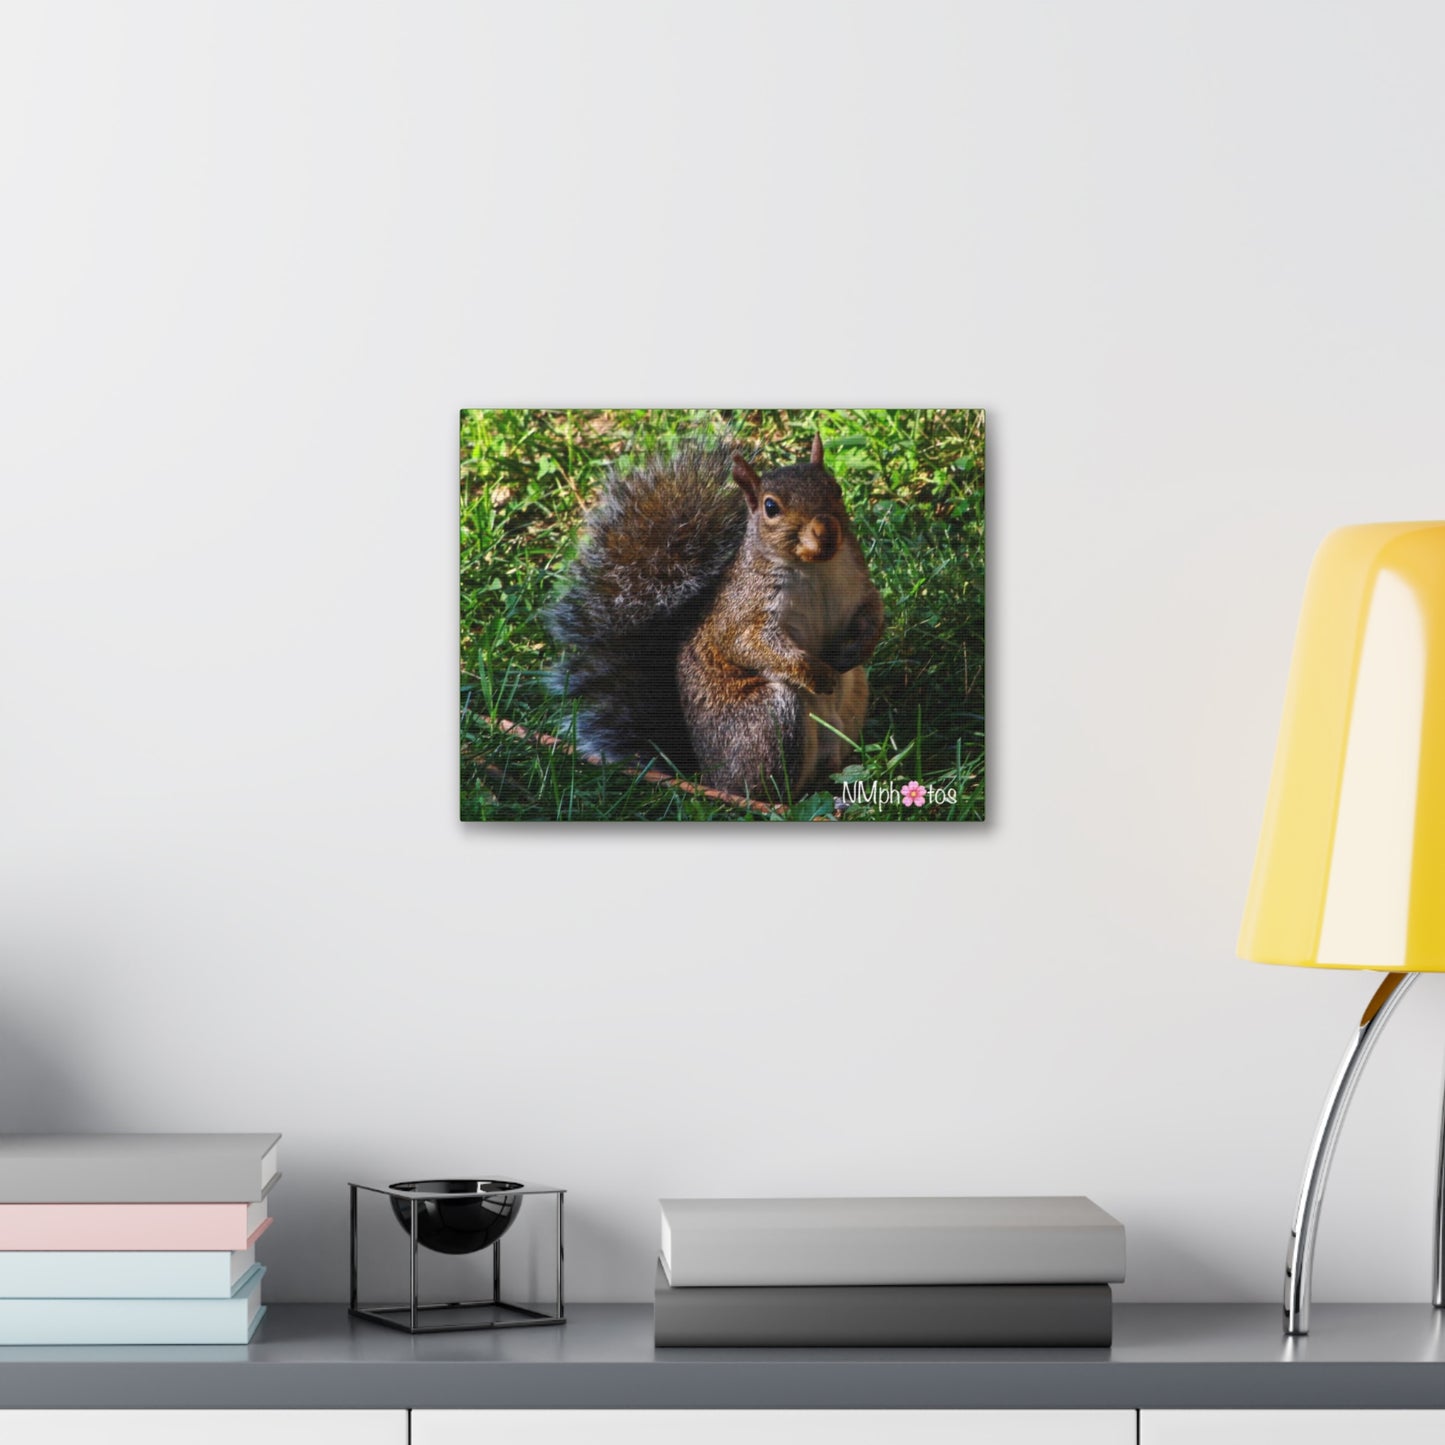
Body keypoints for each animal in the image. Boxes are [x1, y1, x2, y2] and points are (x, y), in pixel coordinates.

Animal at [546, 433, 884, 799]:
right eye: (771, 507)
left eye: (836, 488)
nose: (826, 530)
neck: (815, 567)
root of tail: (708, 776)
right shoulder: (743, 611)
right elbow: (749, 644)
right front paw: (816, 673)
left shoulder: (858, 585)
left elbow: (873, 613)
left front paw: (855, 650)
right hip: (769, 718)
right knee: (770, 790)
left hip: (855, 695)